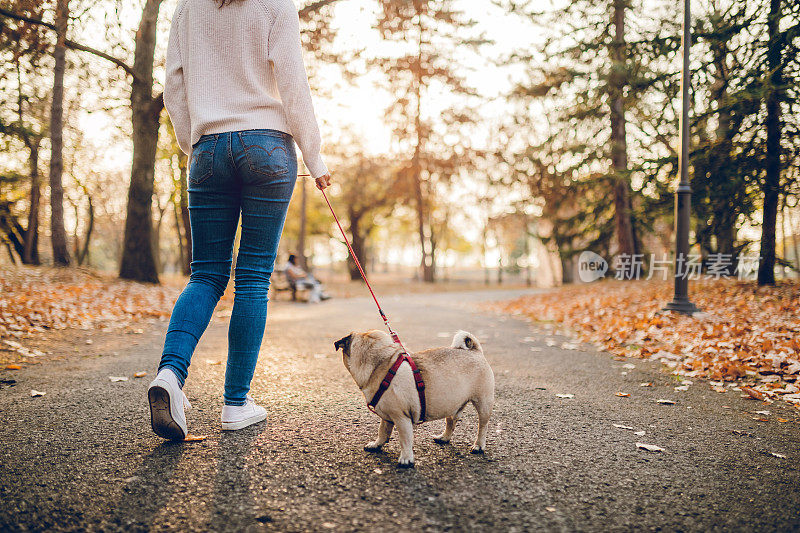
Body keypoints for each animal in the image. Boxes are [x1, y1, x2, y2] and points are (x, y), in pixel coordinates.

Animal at [332, 328, 494, 466]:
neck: (381, 364)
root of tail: (475, 351)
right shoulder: (387, 416)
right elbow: (382, 431)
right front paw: (376, 445)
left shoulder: (401, 418)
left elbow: (405, 440)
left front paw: (406, 459)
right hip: (452, 402)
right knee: (451, 421)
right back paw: (444, 438)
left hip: (483, 403)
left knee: (482, 425)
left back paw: (478, 446)